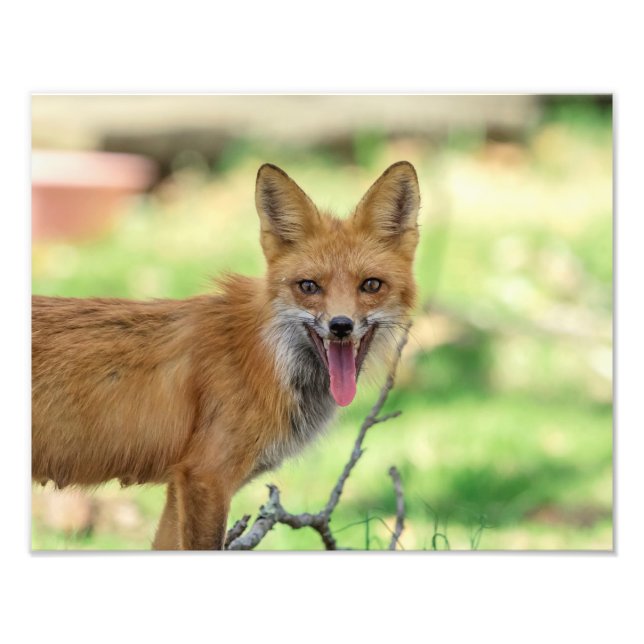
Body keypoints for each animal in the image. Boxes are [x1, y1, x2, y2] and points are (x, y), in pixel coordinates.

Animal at [32, 161, 420, 550]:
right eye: (309, 286)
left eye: (371, 285)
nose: (340, 325)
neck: (266, 357)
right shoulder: (206, 476)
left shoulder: (179, 483)